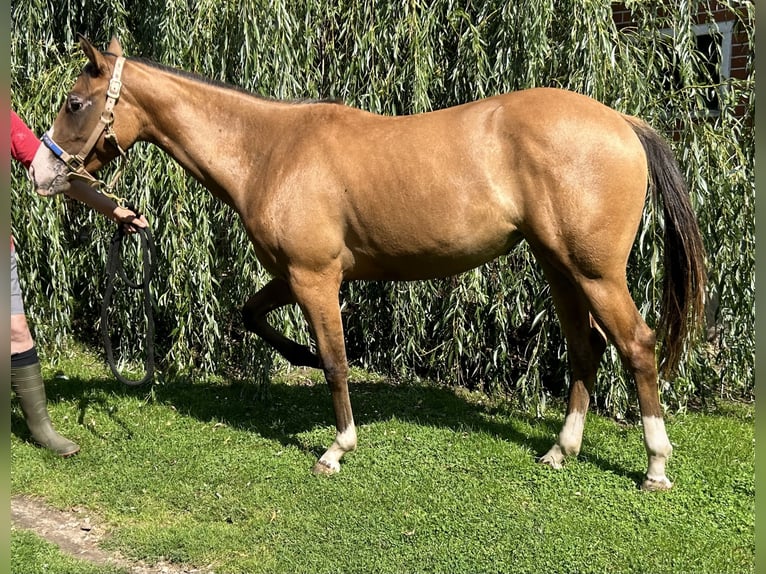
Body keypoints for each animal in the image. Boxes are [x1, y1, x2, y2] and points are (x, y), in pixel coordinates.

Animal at [30, 38, 708, 492]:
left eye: (75, 103)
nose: (40, 172)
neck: (270, 150)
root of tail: (622, 121)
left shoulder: (315, 278)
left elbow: (335, 361)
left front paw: (337, 446)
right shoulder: (291, 276)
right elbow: (252, 315)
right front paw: (298, 358)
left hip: (594, 272)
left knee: (636, 344)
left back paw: (655, 465)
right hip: (558, 267)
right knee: (585, 349)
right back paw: (560, 451)